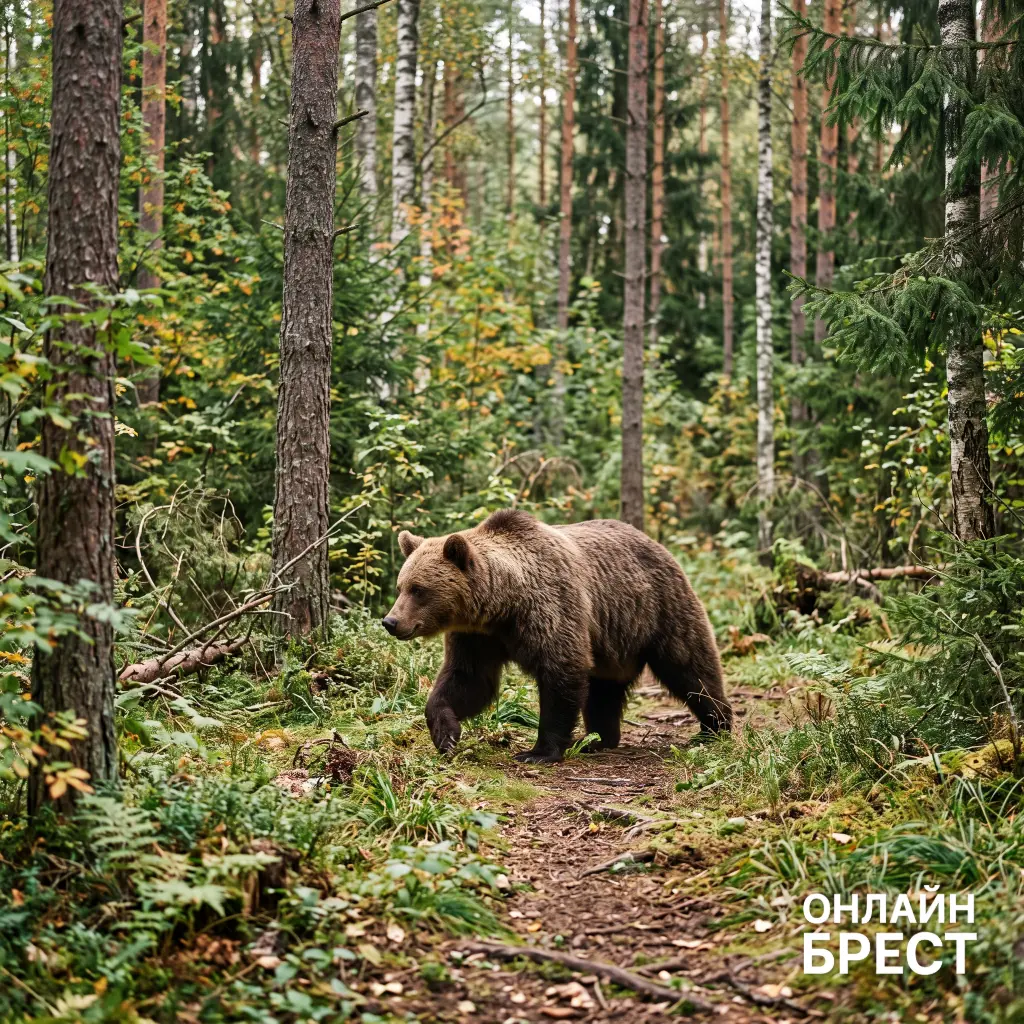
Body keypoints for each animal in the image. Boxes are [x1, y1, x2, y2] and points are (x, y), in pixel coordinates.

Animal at [382, 509, 731, 763]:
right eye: (401, 586)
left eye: (419, 589)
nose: (391, 621)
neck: (502, 605)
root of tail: (657, 544)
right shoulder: (477, 636)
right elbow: (468, 680)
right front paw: (446, 734)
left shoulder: (550, 609)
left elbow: (560, 672)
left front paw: (537, 752)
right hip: (612, 643)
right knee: (603, 691)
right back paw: (597, 740)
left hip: (658, 609)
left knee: (691, 667)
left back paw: (715, 727)